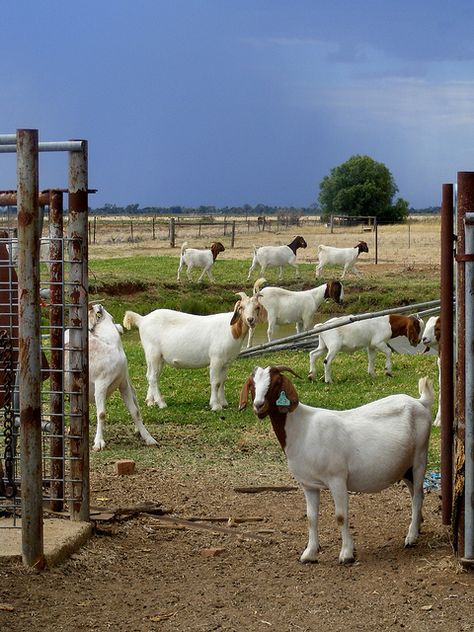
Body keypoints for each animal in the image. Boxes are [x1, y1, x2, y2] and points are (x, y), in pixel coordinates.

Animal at [65, 304, 157, 452]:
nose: (120, 328)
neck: (111, 346)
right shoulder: (101, 385)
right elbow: (101, 414)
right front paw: (98, 444)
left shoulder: (123, 384)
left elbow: (135, 411)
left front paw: (150, 440)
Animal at [122, 292, 262, 410]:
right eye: (241, 307)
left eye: (257, 307)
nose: (250, 320)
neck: (231, 330)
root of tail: (142, 319)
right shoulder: (216, 359)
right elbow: (215, 382)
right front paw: (215, 405)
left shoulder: (226, 362)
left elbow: (222, 381)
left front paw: (223, 402)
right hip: (153, 353)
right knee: (152, 377)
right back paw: (161, 403)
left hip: (156, 357)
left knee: (151, 375)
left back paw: (151, 402)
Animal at [241, 362, 434, 564]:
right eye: (252, 384)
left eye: (276, 382)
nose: (259, 406)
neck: (302, 429)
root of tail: (421, 402)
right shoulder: (309, 485)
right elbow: (311, 517)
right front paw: (309, 553)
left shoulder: (337, 478)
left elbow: (340, 516)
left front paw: (346, 554)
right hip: (406, 467)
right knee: (415, 494)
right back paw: (418, 526)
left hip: (420, 457)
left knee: (418, 495)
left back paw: (411, 537)